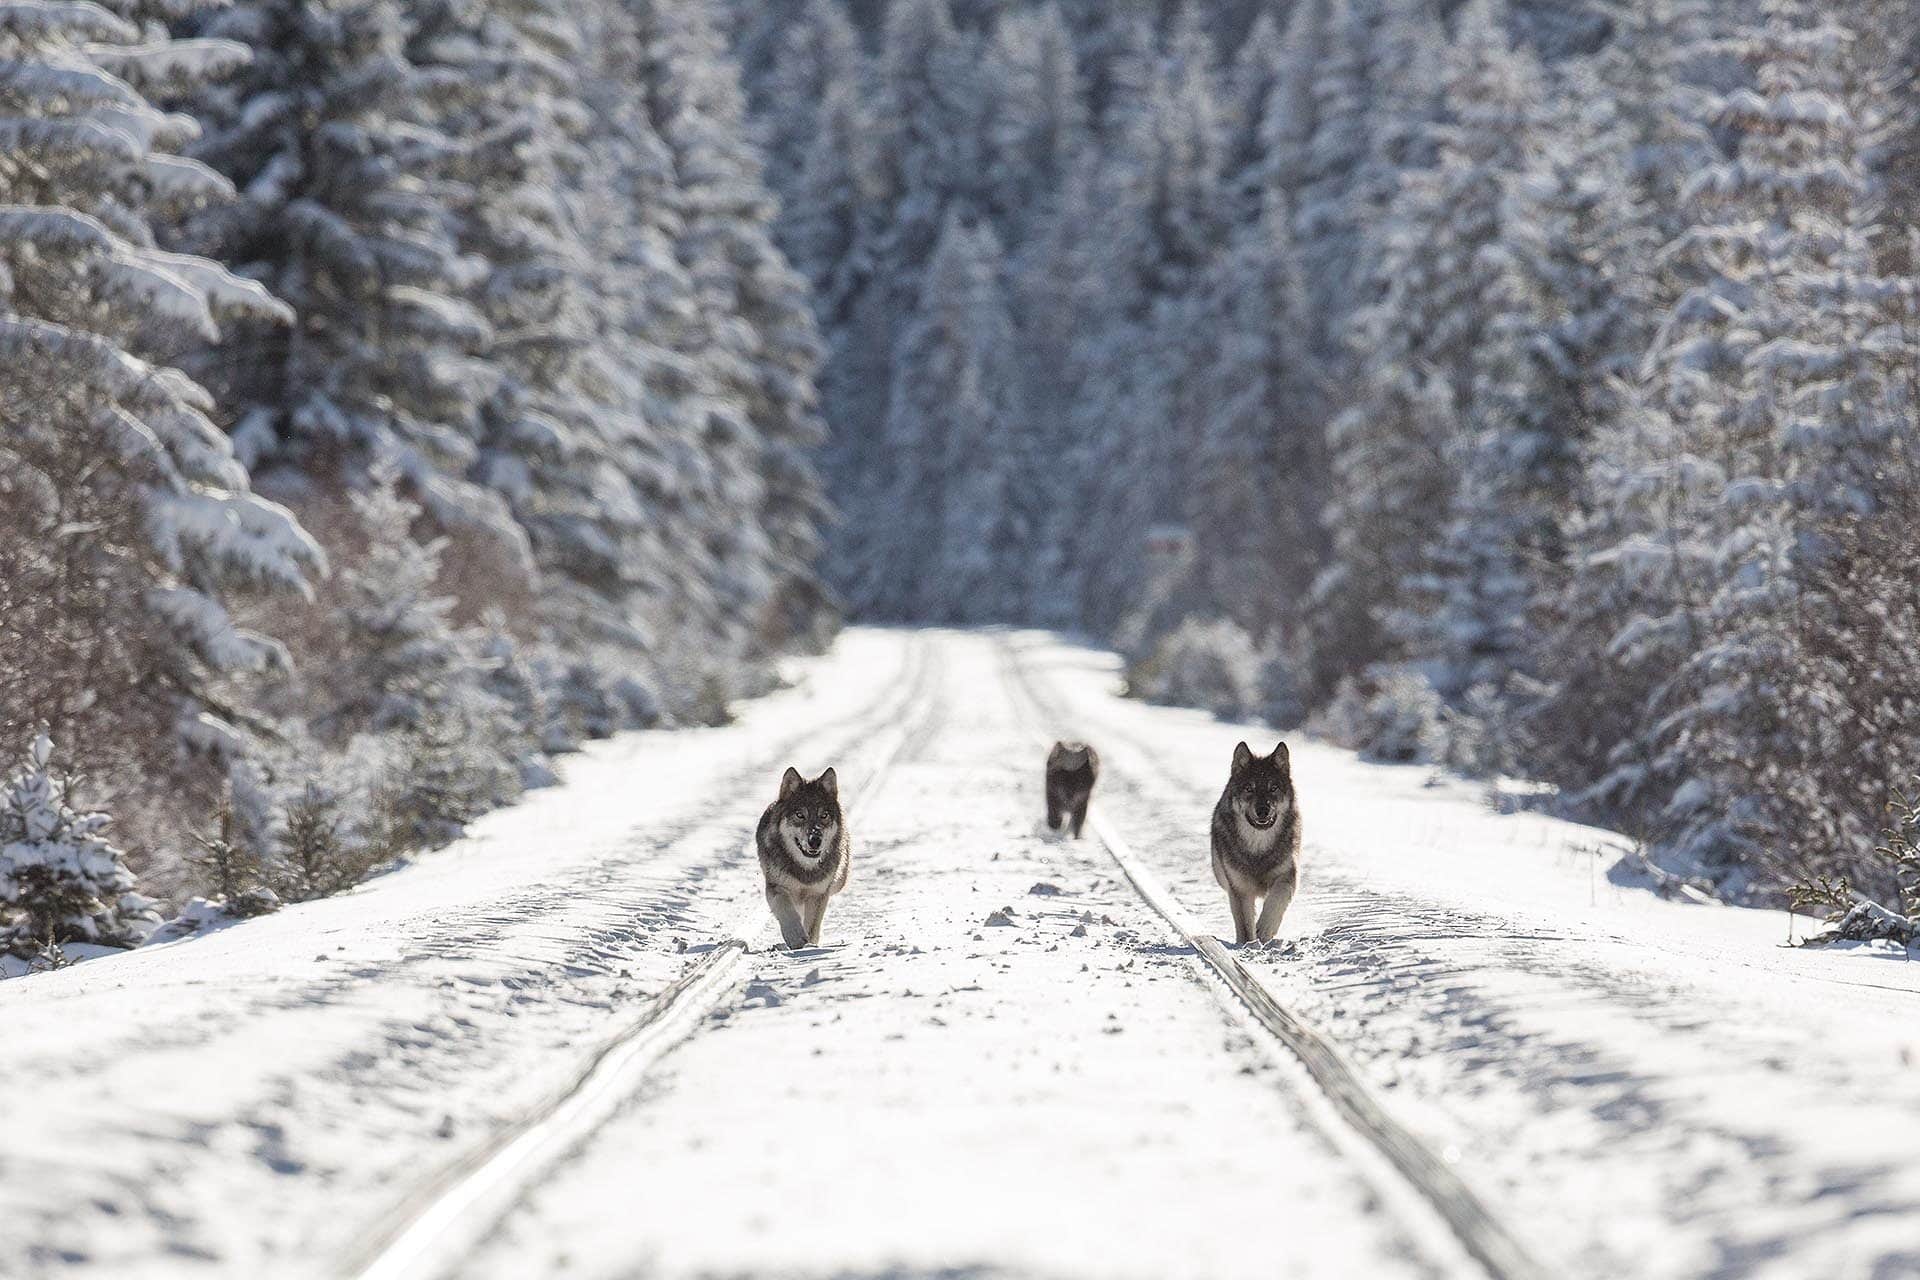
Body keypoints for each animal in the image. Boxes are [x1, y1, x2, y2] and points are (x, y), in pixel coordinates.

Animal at [756, 767, 848, 948]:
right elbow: (785, 909)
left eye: (824, 815)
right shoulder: (776, 888)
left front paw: (810, 944)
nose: (815, 840)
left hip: (839, 881)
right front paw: (795, 937)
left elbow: (812, 925)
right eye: (800, 815)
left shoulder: (818, 894)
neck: (805, 869)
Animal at [1205, 744, 1297, 948]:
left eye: (1273, 788)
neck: (1257, 848)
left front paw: (1264, 929)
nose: (1263, 810)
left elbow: (1276, 900)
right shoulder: (1240, 889)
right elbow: (1246, 924)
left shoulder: (1287, 876)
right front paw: (1250, 945)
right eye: (1249, 788)